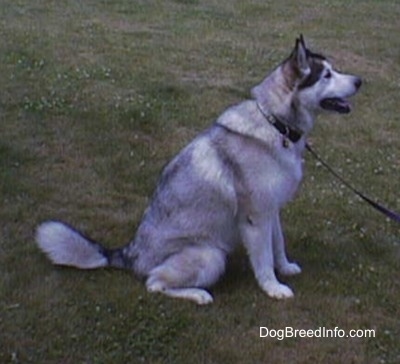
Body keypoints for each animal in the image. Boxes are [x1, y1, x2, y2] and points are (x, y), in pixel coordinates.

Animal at [36, 36, 360, 304]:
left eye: (334, 70)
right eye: (327, 74)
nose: (359, 81)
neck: (275, 124)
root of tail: (130, 254)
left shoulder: (271, 209)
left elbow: (278, 245)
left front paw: (286, 268)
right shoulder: (255, 218)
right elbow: (264, 260)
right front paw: (273, 288)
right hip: (211, 255)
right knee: (154, 283)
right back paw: (198, 295)